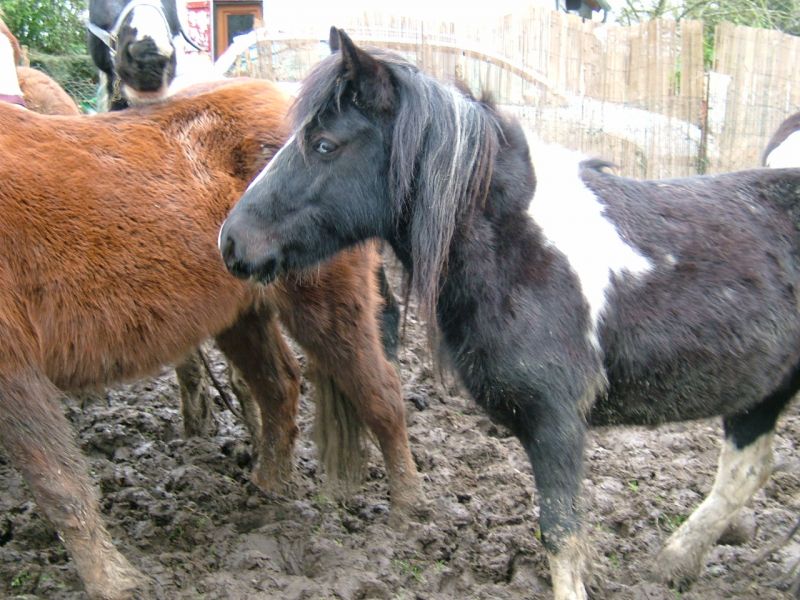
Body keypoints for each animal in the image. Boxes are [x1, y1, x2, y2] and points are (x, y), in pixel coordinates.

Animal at [0, 77, 419, 600]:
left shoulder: (13, 372)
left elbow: (58, 483)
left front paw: (114, 582)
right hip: (240, 317)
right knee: (279, 387)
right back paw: (269, 488)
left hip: (328, 309)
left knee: (379, 395)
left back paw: (406, 510)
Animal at [219, 29, 800, 600]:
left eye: (324, 145)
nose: (231, 241)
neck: (520, 245)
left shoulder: (558, 423)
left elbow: (561, 535)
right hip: (764, 391)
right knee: (747, 470)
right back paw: (676, 562)